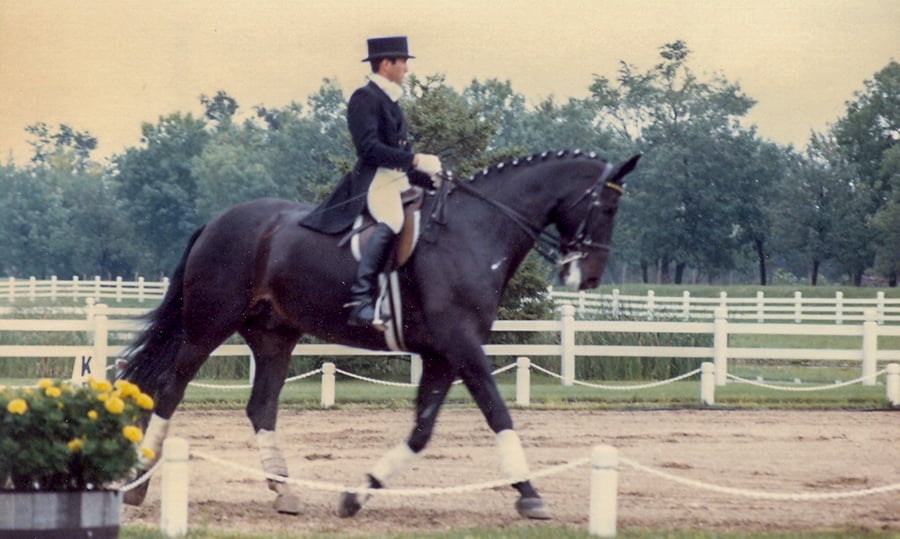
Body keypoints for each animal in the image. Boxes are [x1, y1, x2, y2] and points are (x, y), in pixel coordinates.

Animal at [119, 150, 640, 520]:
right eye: (608, 205)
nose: (588, 278)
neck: (476, 232)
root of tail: (216, 221)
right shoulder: (463, 346)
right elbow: (498, 413)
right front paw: (530, 495)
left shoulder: (443, 355)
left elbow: (422, 431)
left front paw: (357, 494)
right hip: (208, 325)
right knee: (170, 390)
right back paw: (140, 480)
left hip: (273, 337)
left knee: (259, 406)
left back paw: (283, 491)